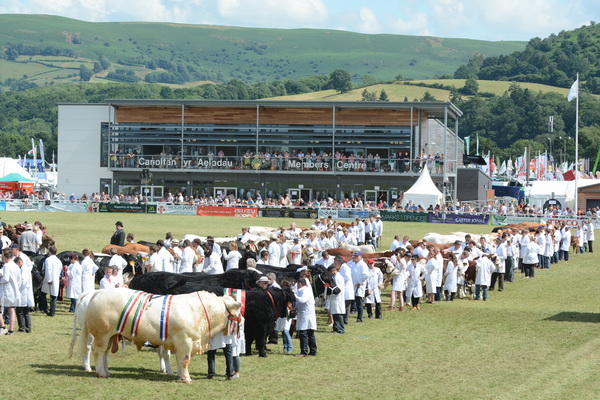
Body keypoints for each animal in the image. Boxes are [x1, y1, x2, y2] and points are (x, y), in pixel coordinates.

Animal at [81, 286, 243, 382]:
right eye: (238, 312)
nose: (242, 321)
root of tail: (99, 292)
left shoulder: (181, 343)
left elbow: (178, 360)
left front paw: (179, 375)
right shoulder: (185, 340)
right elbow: (185, 360)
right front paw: (186, 378)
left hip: (111, 336)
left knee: (105, 353)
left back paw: (107, 372)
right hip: (102, 334)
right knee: (98, 351)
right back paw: (101, 373)